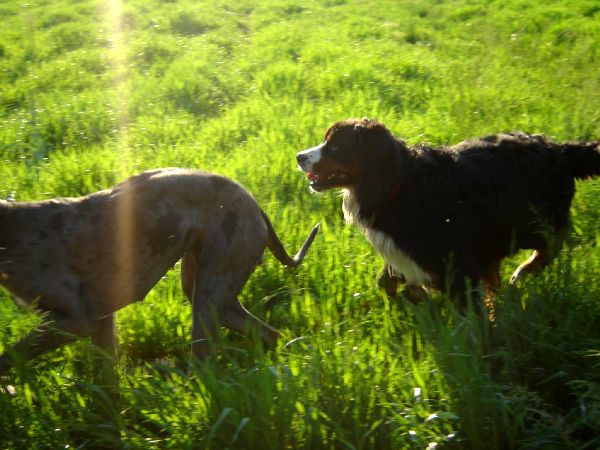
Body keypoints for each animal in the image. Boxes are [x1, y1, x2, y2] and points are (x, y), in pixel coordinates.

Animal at [0, 167, 318, 370]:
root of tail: (255, 205)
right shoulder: (101, 322)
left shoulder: (76, 321)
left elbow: (8, 360)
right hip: (208, 292)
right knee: (268, 334)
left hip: (207, 303)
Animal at [296, 118, 600, 308]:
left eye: (335, 145)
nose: (299, 156)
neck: (398, 185)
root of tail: (559, 149)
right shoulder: (407, 255)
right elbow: (387, 282)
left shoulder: (457, 264)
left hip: (538, 224)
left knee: (550, 247)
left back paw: (522, 272)